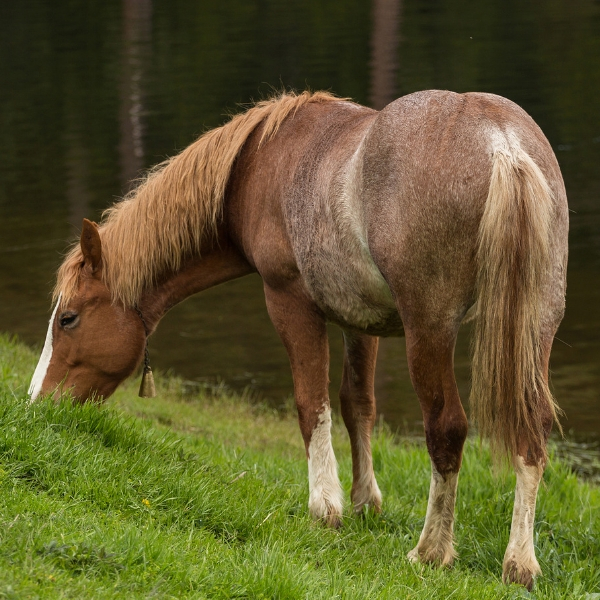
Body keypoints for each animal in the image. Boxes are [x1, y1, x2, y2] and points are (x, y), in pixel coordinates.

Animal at [29, 91, 568, 588]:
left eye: (68, 319)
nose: (36, 404)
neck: (255, 165)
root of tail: (502, 143)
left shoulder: (289, 302)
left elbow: (312, 405)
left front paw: (324, 507)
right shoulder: (360, 320)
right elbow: (357, 405)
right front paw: (364, 502)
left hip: (429, 331)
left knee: (446, 429)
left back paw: (431, 551)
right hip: (535, 326)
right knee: (532, 430)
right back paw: (520, 564)